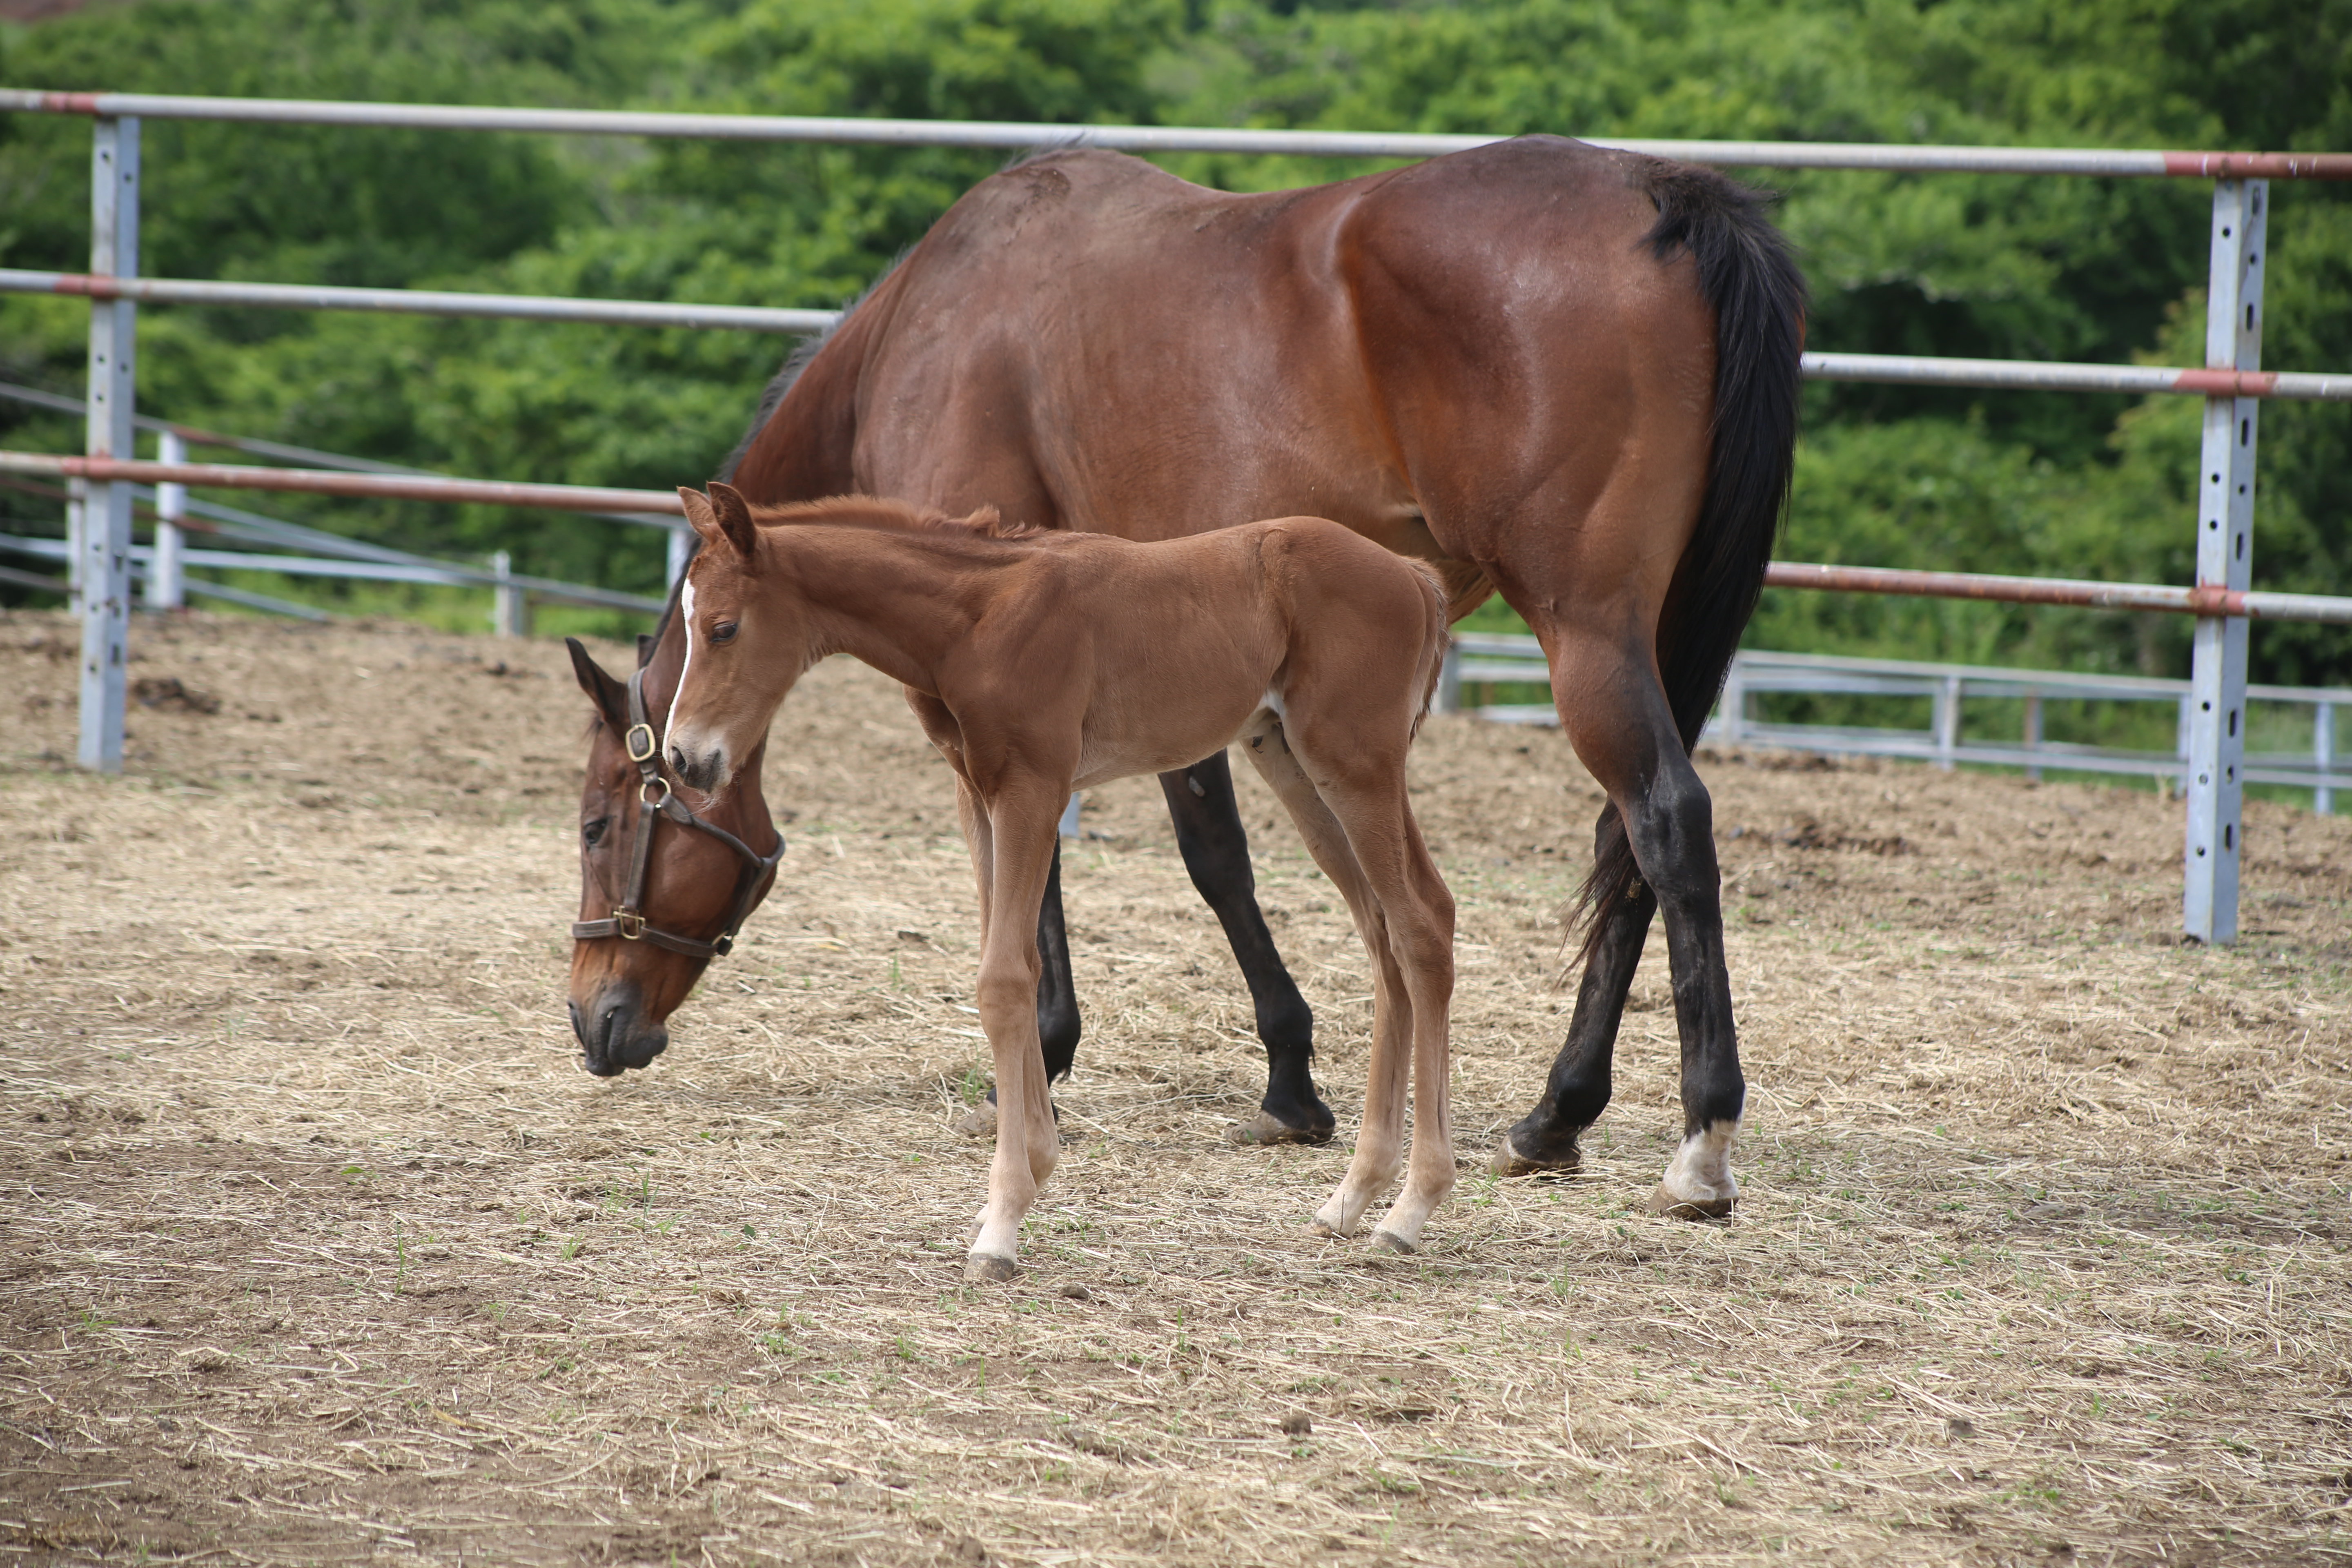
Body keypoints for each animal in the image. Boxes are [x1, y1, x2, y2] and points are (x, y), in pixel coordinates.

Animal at [663, 484, 1458, 1278]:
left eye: (724, 628)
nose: (683, 758)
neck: (978, 615)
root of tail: (1414, 576)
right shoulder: (977, 796)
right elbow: (1019, 967)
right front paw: (1029, 1175)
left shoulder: (1033, 789)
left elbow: (1003, 980)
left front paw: (1003, 1223)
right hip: (1292, 760)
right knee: (1385, 935)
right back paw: (1353, 1198)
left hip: (1356, 763)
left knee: (1422, 924)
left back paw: (1409, 1209)